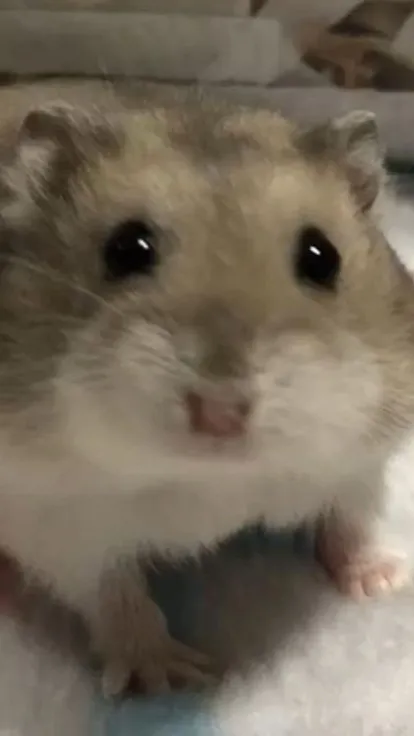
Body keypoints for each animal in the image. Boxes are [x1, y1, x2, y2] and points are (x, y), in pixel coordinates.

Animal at [0, 82, 412, 694]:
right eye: (127, 249)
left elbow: (353, 519)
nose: (221, 412)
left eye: (322, 257)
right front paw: (166, 678)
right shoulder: (56, 518)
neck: (213, 477)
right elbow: (112, 593)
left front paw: (385, 583)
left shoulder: (360, 459)